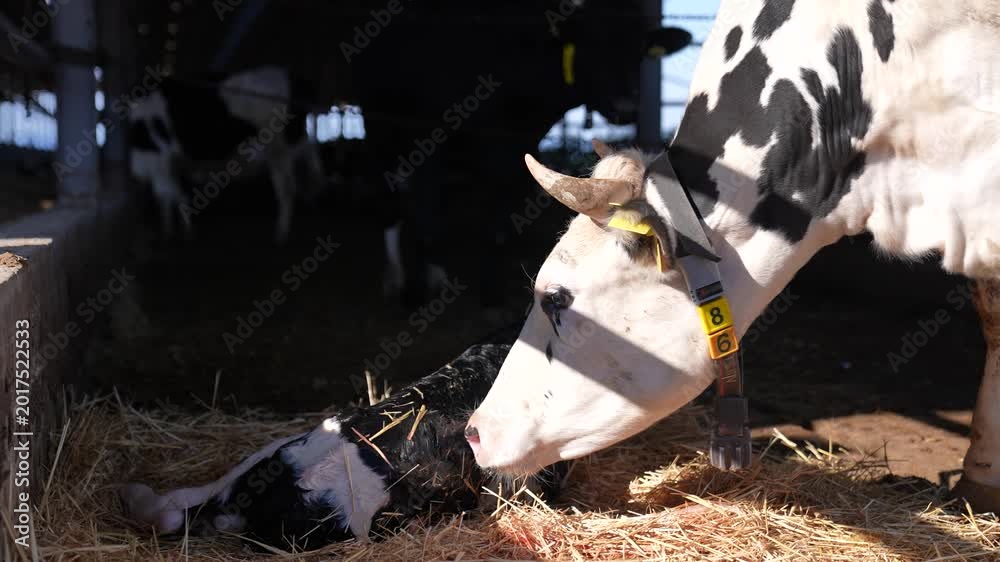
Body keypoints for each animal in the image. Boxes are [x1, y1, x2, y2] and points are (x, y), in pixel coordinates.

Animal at [128, 66, 324, 244]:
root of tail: (294, 78)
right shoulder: (166, 164)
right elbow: (169, 198)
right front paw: (169, 231)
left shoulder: (158, 161)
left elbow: (171, 196)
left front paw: (183, 233)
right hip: (295, 142)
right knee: (310, 163)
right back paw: (312, 197)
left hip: (279, 150)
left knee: (287, 189)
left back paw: (281, 234)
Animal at [346, 2, 693, 306]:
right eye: (589, 46)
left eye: (639, 51)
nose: (626, 107)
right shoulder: (428, 140)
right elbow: (426, 220)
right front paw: (416, 294)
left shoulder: (511, 150)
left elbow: (498, 225)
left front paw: (491, 295)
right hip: (379, 126)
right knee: (393, 202)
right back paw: (398, 278)